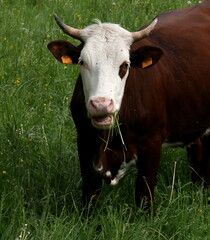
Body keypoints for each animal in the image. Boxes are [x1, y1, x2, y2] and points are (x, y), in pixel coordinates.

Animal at [47, 0, 210, 209]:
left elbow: (144, 197)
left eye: (125, 65)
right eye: (82, 62)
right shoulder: (84, 141)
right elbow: (90, 196)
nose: (101, 105)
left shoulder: (151, 145)